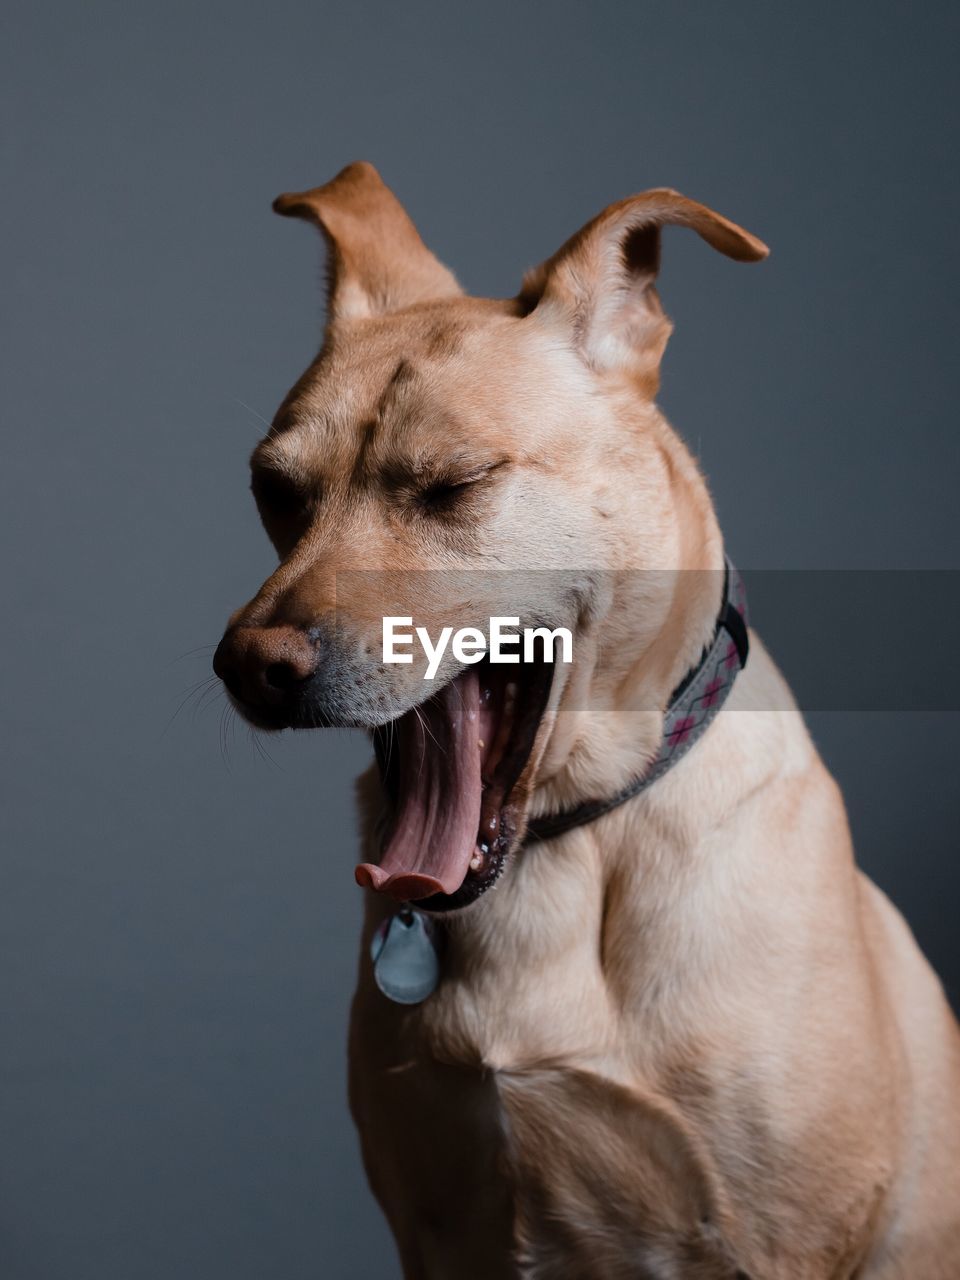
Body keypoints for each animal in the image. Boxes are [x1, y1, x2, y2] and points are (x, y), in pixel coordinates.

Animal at [213, 165, 960, 1274]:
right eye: (274, 490)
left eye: (455, 486)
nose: (249, 669)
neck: (565, 854)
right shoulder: (435, 1229)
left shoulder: (786, 1242)